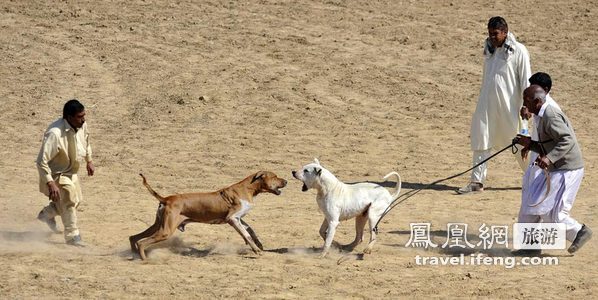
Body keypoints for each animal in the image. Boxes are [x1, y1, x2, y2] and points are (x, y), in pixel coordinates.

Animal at [131, 171, 288, 260]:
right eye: (274, 177)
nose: (286, 181)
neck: (248, 188)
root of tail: (166, 199)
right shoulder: (232, 218)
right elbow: (247, 234)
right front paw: (256, 250)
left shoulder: (239, 218)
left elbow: (250, 230)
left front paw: (259, 244)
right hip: (165, 231)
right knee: (142, 242)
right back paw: (144, 260)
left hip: (158, 226)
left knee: (133, 237)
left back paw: (134, 254)